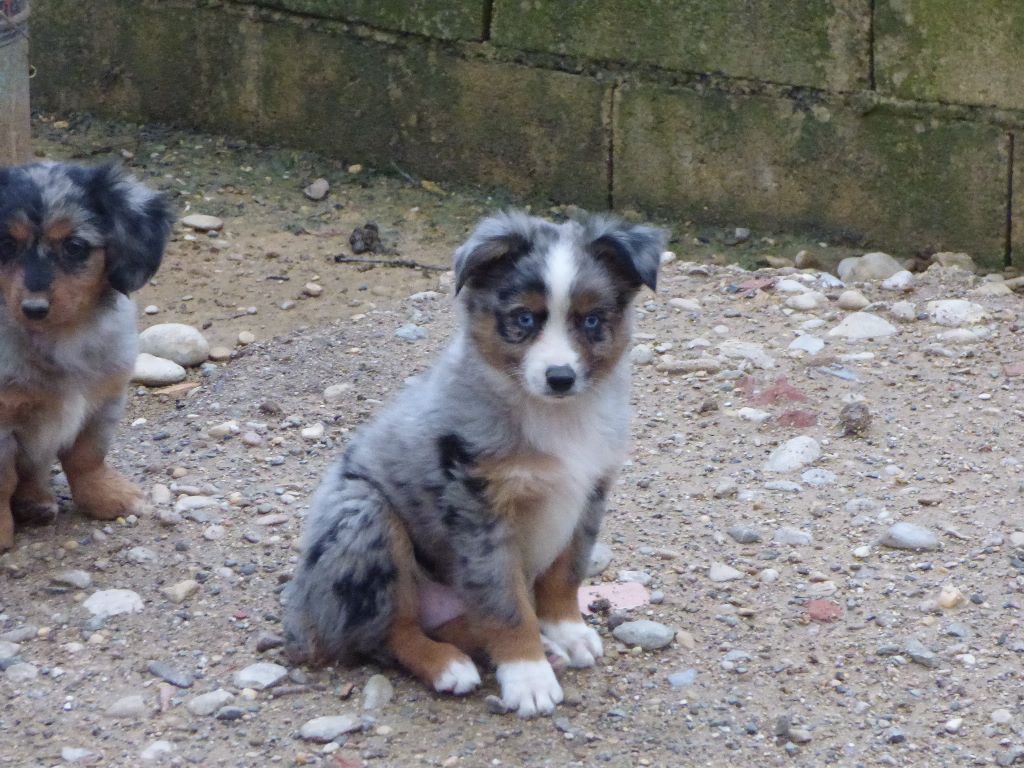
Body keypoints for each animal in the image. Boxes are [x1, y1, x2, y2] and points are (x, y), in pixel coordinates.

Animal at [0, 162, 173, 552]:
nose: (33, 308)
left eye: (75, 246)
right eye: (5, 245)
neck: (59, 340)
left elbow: (86, 457)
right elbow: (2, 479)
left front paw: (105, 496)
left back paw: (35, 502)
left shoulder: (103, 401)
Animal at [284, 211, 664, 716]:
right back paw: (448, 666)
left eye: (591, 321)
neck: (556, 417)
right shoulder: (477, 508)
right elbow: (505, 604)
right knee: (387, 632)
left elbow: (565, 572)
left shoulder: (590, 493)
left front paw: (565, 630)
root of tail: (301, 614)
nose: (560, 377)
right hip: (363, 517)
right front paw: (528, 677)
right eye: (523, 318)